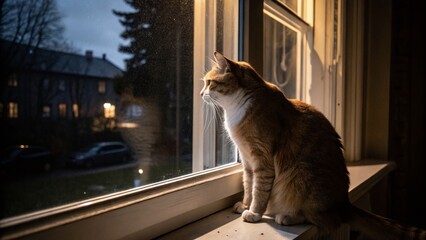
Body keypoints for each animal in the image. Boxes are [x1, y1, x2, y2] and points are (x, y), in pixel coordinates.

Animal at [201, 51, 426, 239]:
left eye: (209, 83)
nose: (201, 93)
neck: (237, 108)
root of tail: (344, 203)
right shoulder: (247, 162)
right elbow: (249, 186)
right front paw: (245, 204)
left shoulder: (261, 160)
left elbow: (259, 190)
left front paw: (254, 212)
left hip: (302, 175)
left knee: (324, 220)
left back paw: (287, 217)